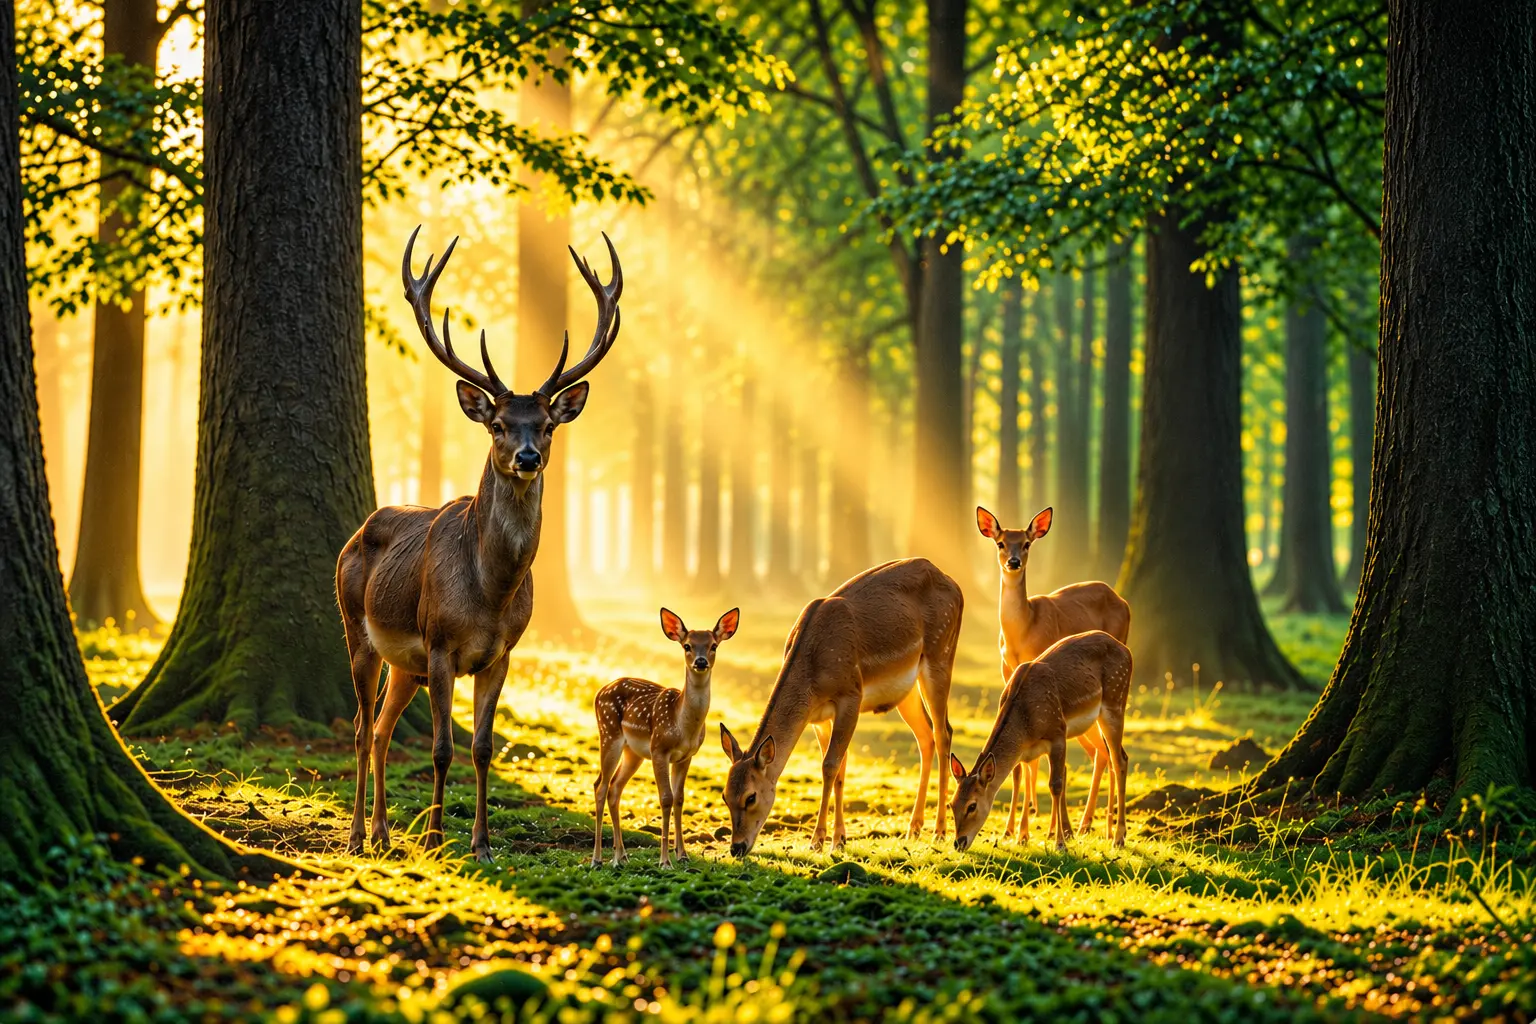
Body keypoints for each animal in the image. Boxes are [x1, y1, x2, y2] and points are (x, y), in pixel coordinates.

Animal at [337, 226, 621, 863]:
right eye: (497, 424)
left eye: (547, 424)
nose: (528, 457)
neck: (489, 594)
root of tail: (356, 534)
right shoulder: (441, 643)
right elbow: (442, 747)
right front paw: (437, 837)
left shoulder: (502, 653)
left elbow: (483, 747)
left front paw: (482, 843)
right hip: (357, 629)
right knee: (363, 729)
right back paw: (359, 834)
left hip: (406, 664)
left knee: (385, 730)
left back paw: (385, 832)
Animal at [591, 607, 740, 868]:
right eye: (687, 645)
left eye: (713, 645)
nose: (701, 661)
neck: (683, 728)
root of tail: (599, 692)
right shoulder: (659, 748)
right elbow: (666, 798)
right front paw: (665, 861)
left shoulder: (686, 756)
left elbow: (679, 798)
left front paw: (682, 855)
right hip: (609, 733)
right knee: (600, 785)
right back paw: (597, 859)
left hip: (633, 752)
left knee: (615, 788)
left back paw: (621, 857)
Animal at [718, 559, 962, 857]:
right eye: (725, 795)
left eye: (750, 796)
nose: (736, 847)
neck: (812, 676)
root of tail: (955, 585)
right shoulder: (818, 717)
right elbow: (839, 768)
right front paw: (839, 838)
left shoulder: (851, 696)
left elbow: (830, 765)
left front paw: (818, 840)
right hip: (907, 690)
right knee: (925, 736)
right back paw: (913, 829)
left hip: (941, 656)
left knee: (944, 732)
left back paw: (939, 832)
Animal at [950, 630, 1131, 851]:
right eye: (951, 804)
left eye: (972, 806)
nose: (958, 842)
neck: (1026, 722)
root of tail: (1126, 650)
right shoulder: (1028, 750)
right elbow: (1026, 779)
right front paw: (1023, 836)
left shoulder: (1058, 733)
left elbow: (1055, 784)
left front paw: (1060, 843)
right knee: (1111, 756)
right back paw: (1104, 832)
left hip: (1115, 702)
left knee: (1119, 759)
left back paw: (1118, 838)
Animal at [975, 505, 1131, 843]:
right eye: (1000, 543)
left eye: (1027, 543)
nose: (1013, 562)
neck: (1023, 630)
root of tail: (1122, 599)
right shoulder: (1006, 673)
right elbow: (1024, 765)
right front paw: (1012, 828)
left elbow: (1039, 764)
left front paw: (1031, 828)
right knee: (1101, 751)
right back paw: (1088, 824)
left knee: (1109, 752)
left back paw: (1099, 825)